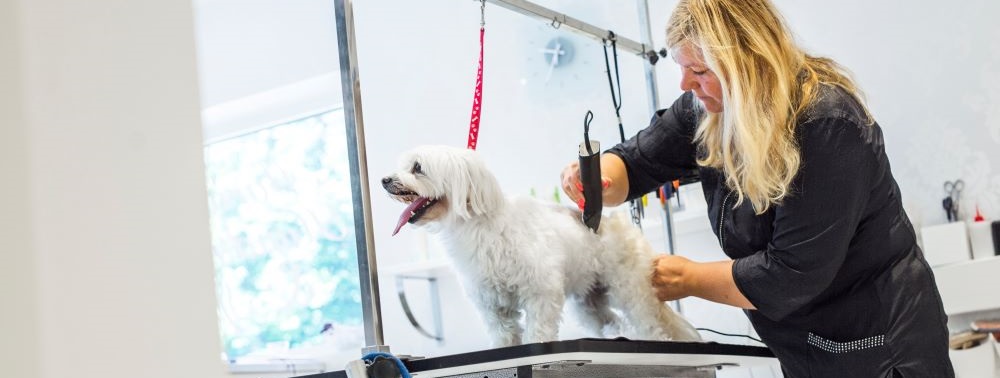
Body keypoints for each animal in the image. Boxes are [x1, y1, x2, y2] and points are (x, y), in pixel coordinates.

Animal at [378, 145, 700, 348]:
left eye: (417, 168)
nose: (384, 179)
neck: (479, 228)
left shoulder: (541, 292)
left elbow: (538, 330)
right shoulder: (491, 304)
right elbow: (503, 334)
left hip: (630, 289)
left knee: (649, 322)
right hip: (589, 301)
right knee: (611, 321)